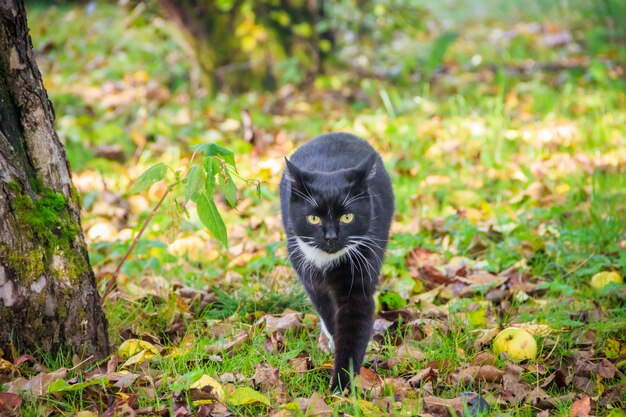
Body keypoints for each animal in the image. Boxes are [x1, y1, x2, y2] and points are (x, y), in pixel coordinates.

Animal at [280, 132, 392, 390]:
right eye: (313, 218)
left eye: (347, 217)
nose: (331, 237)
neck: (327, 260)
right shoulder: (308, 274)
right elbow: (325, 307)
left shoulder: (361, 268)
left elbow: (355, 318)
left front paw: (342, 385)